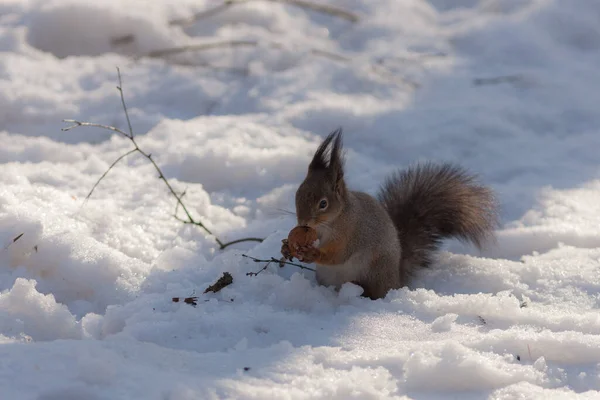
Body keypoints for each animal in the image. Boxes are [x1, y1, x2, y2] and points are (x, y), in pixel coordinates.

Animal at [280, 128, 496, 300]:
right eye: (297, 193)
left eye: (323, 203)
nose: (303, 222)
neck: (335, 219)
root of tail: (396, 281)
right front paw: (286, 246)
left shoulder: (352, 233)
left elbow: (337, 255)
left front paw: (312, 253)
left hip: (374, 272)